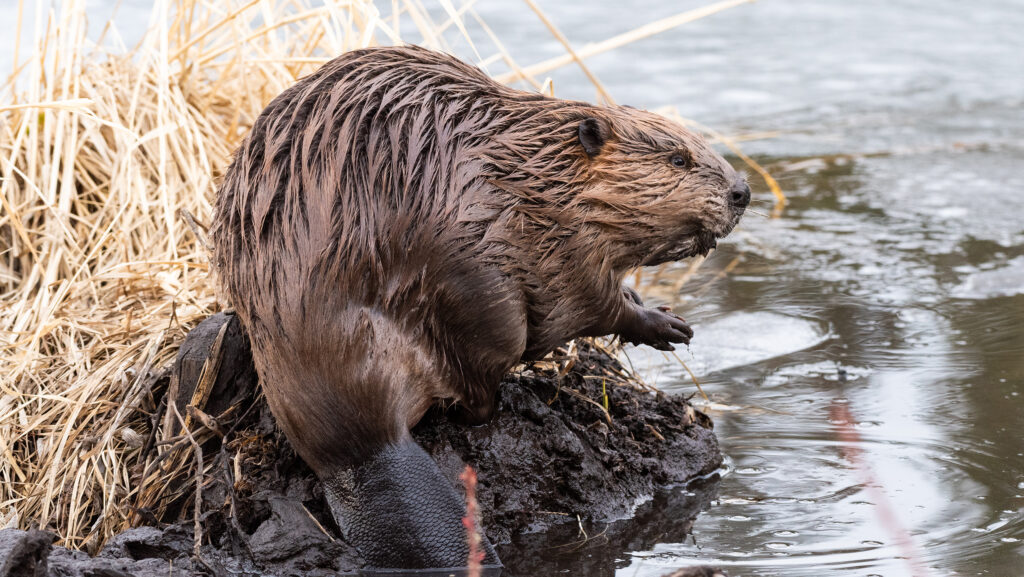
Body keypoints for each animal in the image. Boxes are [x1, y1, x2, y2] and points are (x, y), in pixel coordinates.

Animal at [211, 44, 749, 569]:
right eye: (678, 159)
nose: (741, 191)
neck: (538, 171)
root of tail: (362, 453)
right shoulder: (563, 248)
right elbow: (590, 304)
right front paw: (667, 325)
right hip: (481, 294)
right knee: (478, 389)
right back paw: (516, 398)